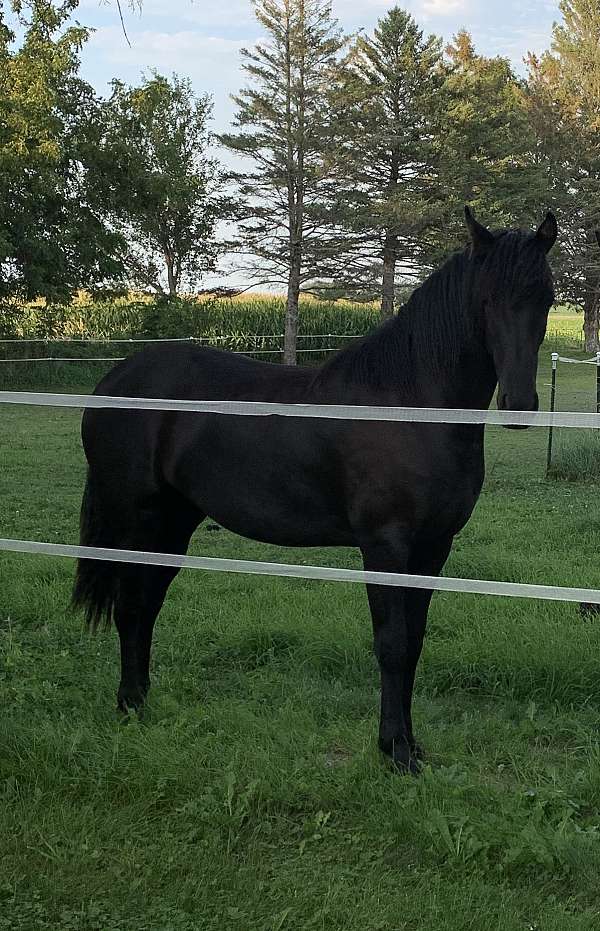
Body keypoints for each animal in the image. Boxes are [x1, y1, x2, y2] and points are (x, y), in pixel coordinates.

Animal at [74, 211, 556, 772]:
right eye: (487, 299)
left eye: (545, 297)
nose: (519, 404)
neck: (411, 407)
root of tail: (115, 379)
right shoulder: (385, 545)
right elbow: (392, 644)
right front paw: (396, 751)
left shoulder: (434, 546)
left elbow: (414, 642)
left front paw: (410, 746)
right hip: (137, 517)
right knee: (131, 606)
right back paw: (130, 707)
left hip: (175, 521)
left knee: (147, 605)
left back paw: (142, 704)